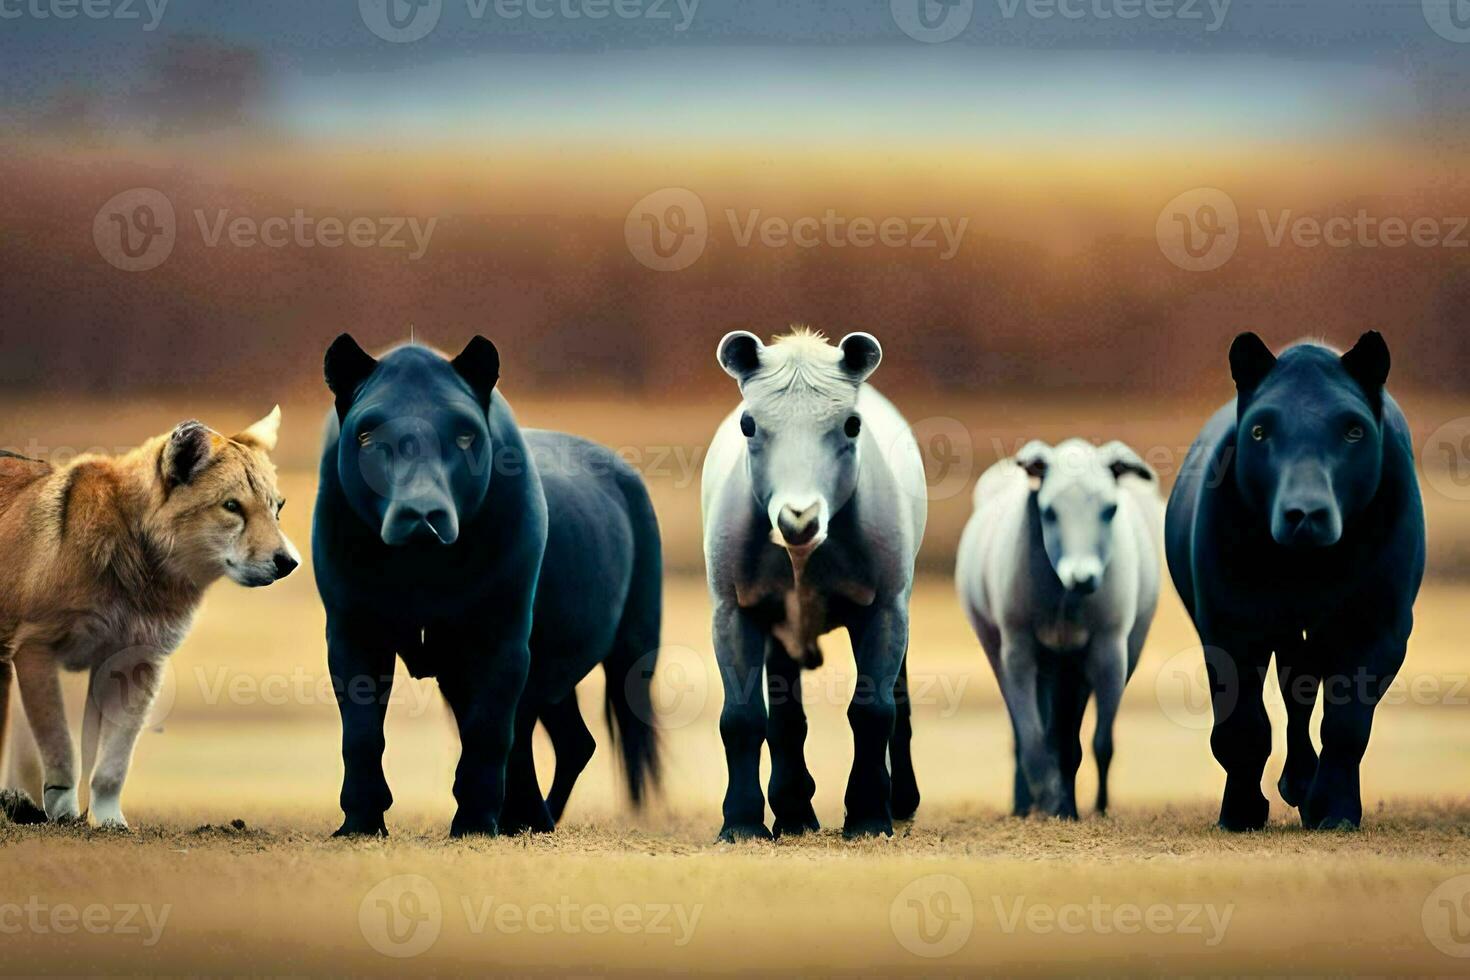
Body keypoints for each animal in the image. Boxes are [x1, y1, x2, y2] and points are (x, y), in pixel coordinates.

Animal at [0, 405, 298, 828]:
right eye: (232, 506)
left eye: (277, 509)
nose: (290, 562)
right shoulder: (38, 651)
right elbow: (61, 752)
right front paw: (64, 816)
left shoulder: (136, 665)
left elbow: (111, 767)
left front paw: (110, 823)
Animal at [313, 334, 664, 834]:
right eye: (367, 435)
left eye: (465, 435)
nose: (422, 514)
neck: (419, 572)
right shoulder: (353, 631)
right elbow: (362, 733)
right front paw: (360, 824)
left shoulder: (501, 635)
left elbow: (488, 731)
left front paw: (475, 824)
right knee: (571, 739)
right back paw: (534, 818)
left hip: (633, 648)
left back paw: (531, 819)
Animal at [1164, 333, 1417, 834]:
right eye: (1260, 431)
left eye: (1354, 430)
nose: (1306, 513)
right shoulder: (1231, 623)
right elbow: (1242, 727)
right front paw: (1241, 812)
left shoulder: (1379, 626)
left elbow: (1346, 725)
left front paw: (1334, 810)